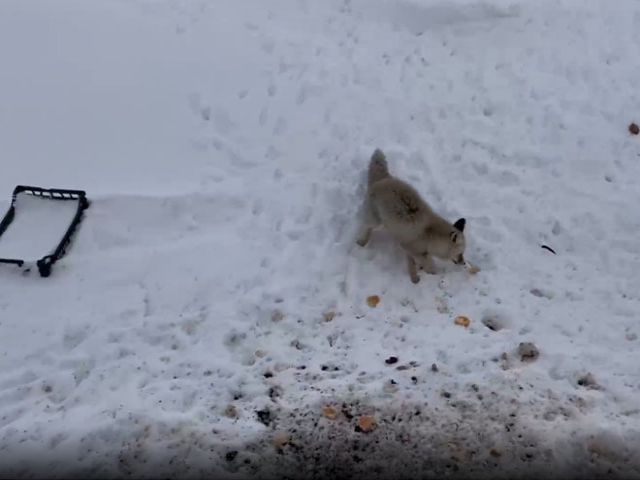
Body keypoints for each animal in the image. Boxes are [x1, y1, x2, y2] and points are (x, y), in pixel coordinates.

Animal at [356, 148, 476, 284]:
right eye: (460, 253)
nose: (463, 263)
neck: (429, 236)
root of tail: (384, 179)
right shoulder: (413, 249)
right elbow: (429, 265)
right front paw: (431, 275)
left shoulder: (410, 248)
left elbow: (412, 265)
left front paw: (414, 279)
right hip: (376, 221)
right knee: (366, 226)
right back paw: (362, 242)